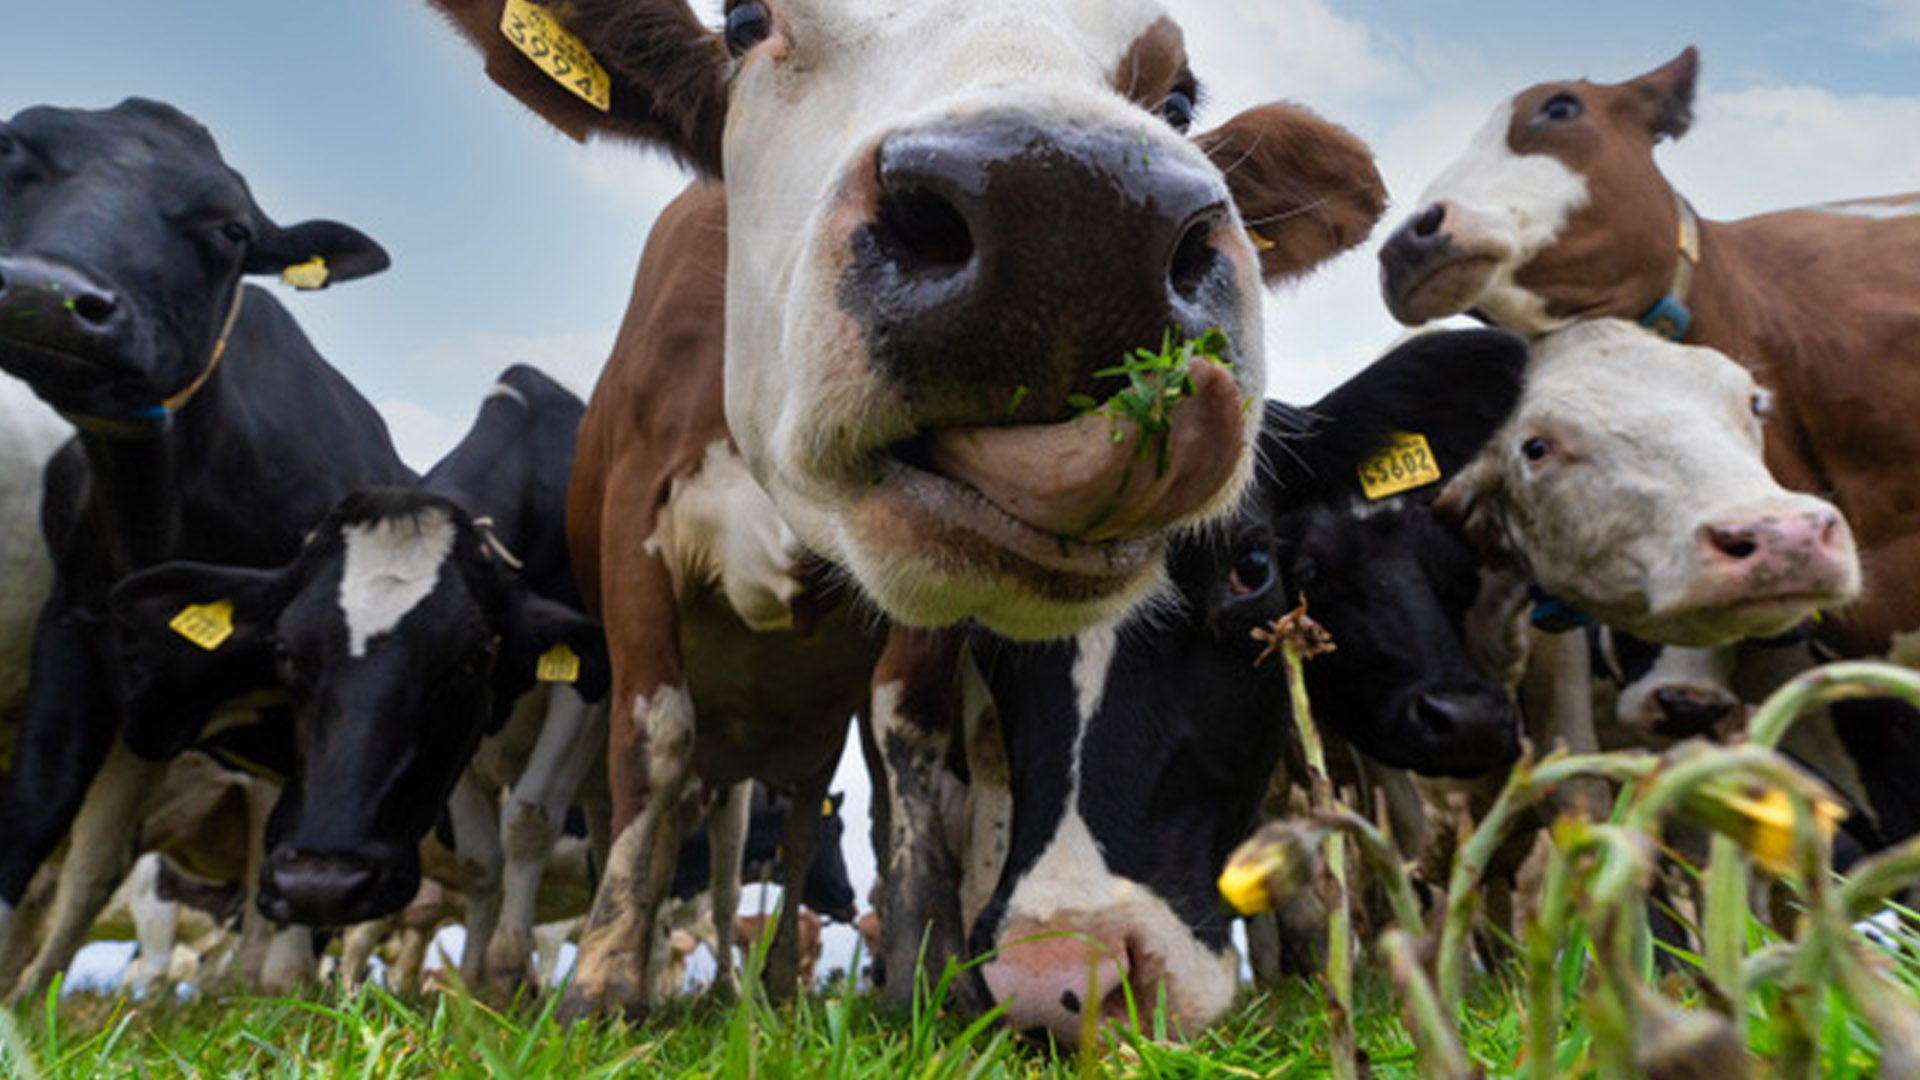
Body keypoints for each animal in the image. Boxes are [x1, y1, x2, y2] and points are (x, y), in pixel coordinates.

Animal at [108, 364, 611, 992]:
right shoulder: (460, 747)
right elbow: (480, 860)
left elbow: (529, 821)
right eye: (285, 652)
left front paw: (504, 977)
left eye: (471, 658)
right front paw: (472, 985)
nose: (321, 885)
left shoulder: (583, 689)